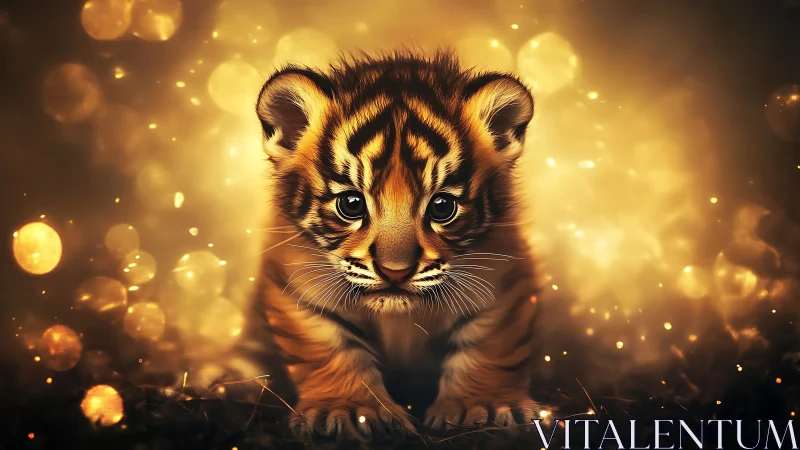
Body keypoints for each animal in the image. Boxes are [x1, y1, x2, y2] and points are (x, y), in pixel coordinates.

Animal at [254, 50, 542, 440]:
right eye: (351, 204)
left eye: (442, 206)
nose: (395, 272)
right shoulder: (296, 285)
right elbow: (331, 350)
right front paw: (348, 411)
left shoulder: (503, 279)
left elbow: (489, 347)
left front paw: (487, 407)